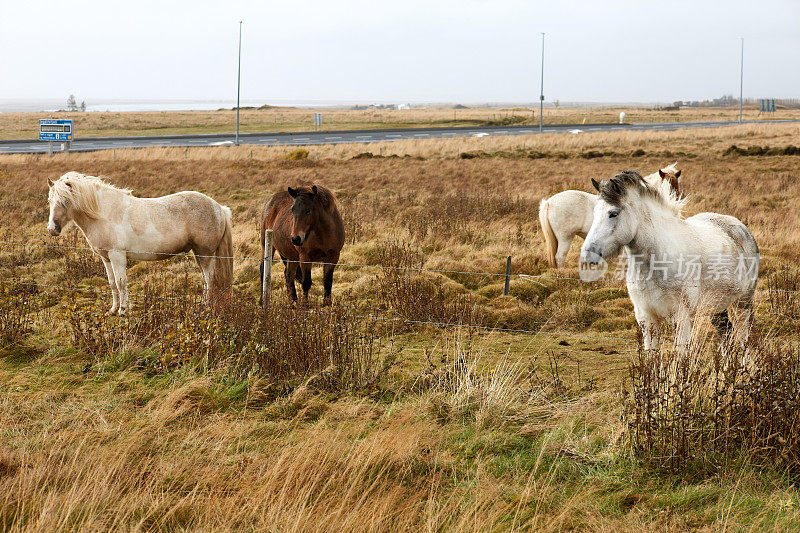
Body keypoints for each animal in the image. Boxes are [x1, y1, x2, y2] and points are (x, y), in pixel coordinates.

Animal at [48, 170, 231, 314]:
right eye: (50, 201)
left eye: (65, 201)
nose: (52, 229)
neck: (104, 214)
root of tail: (220, 208)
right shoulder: (106, 258)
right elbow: (112, 283)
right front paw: (113, 310)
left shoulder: (117, 256)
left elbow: (121, 283)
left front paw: (123, 311)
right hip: (199, 254)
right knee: (206, 279)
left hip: (205, 253)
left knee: (209, 278)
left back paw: (205, 306)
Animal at [536, 161, 680, 266]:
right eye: (667, 184)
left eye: (676, 184)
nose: (674, 198)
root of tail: (548, 202)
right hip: (565, 238)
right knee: (560, 257)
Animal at [580, 170, 760, 354]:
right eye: (595, 213)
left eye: (613, 213)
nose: (588, 254)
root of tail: (740, 226)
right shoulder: (647, 319)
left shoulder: (681, 318)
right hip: (717, 307)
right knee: (726, 334)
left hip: (742, 303)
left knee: (742, 338)